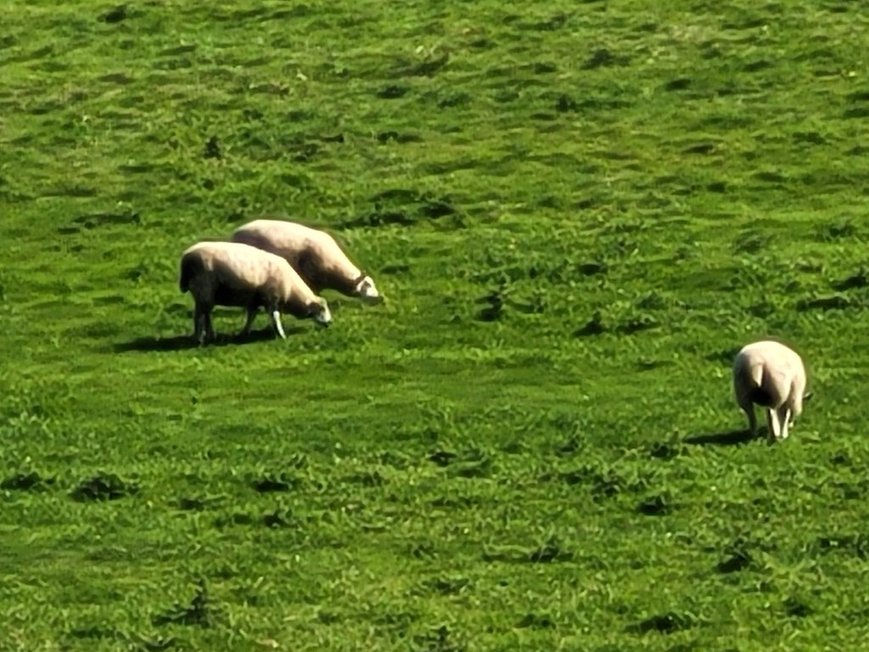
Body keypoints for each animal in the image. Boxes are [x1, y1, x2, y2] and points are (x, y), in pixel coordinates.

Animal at [178, 239, 330, 344]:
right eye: (322, 309)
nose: (330, 323)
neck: (291, 291)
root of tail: (186, 257)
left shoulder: (255, 300)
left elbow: (252, 316)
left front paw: (244, 333)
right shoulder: (272, 297)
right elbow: (275, 316)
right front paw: (281, 334)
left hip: (205, 293)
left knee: (206, 313)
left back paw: (210, 335)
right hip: (204, 288)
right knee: (199, 315)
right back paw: (199, 339)